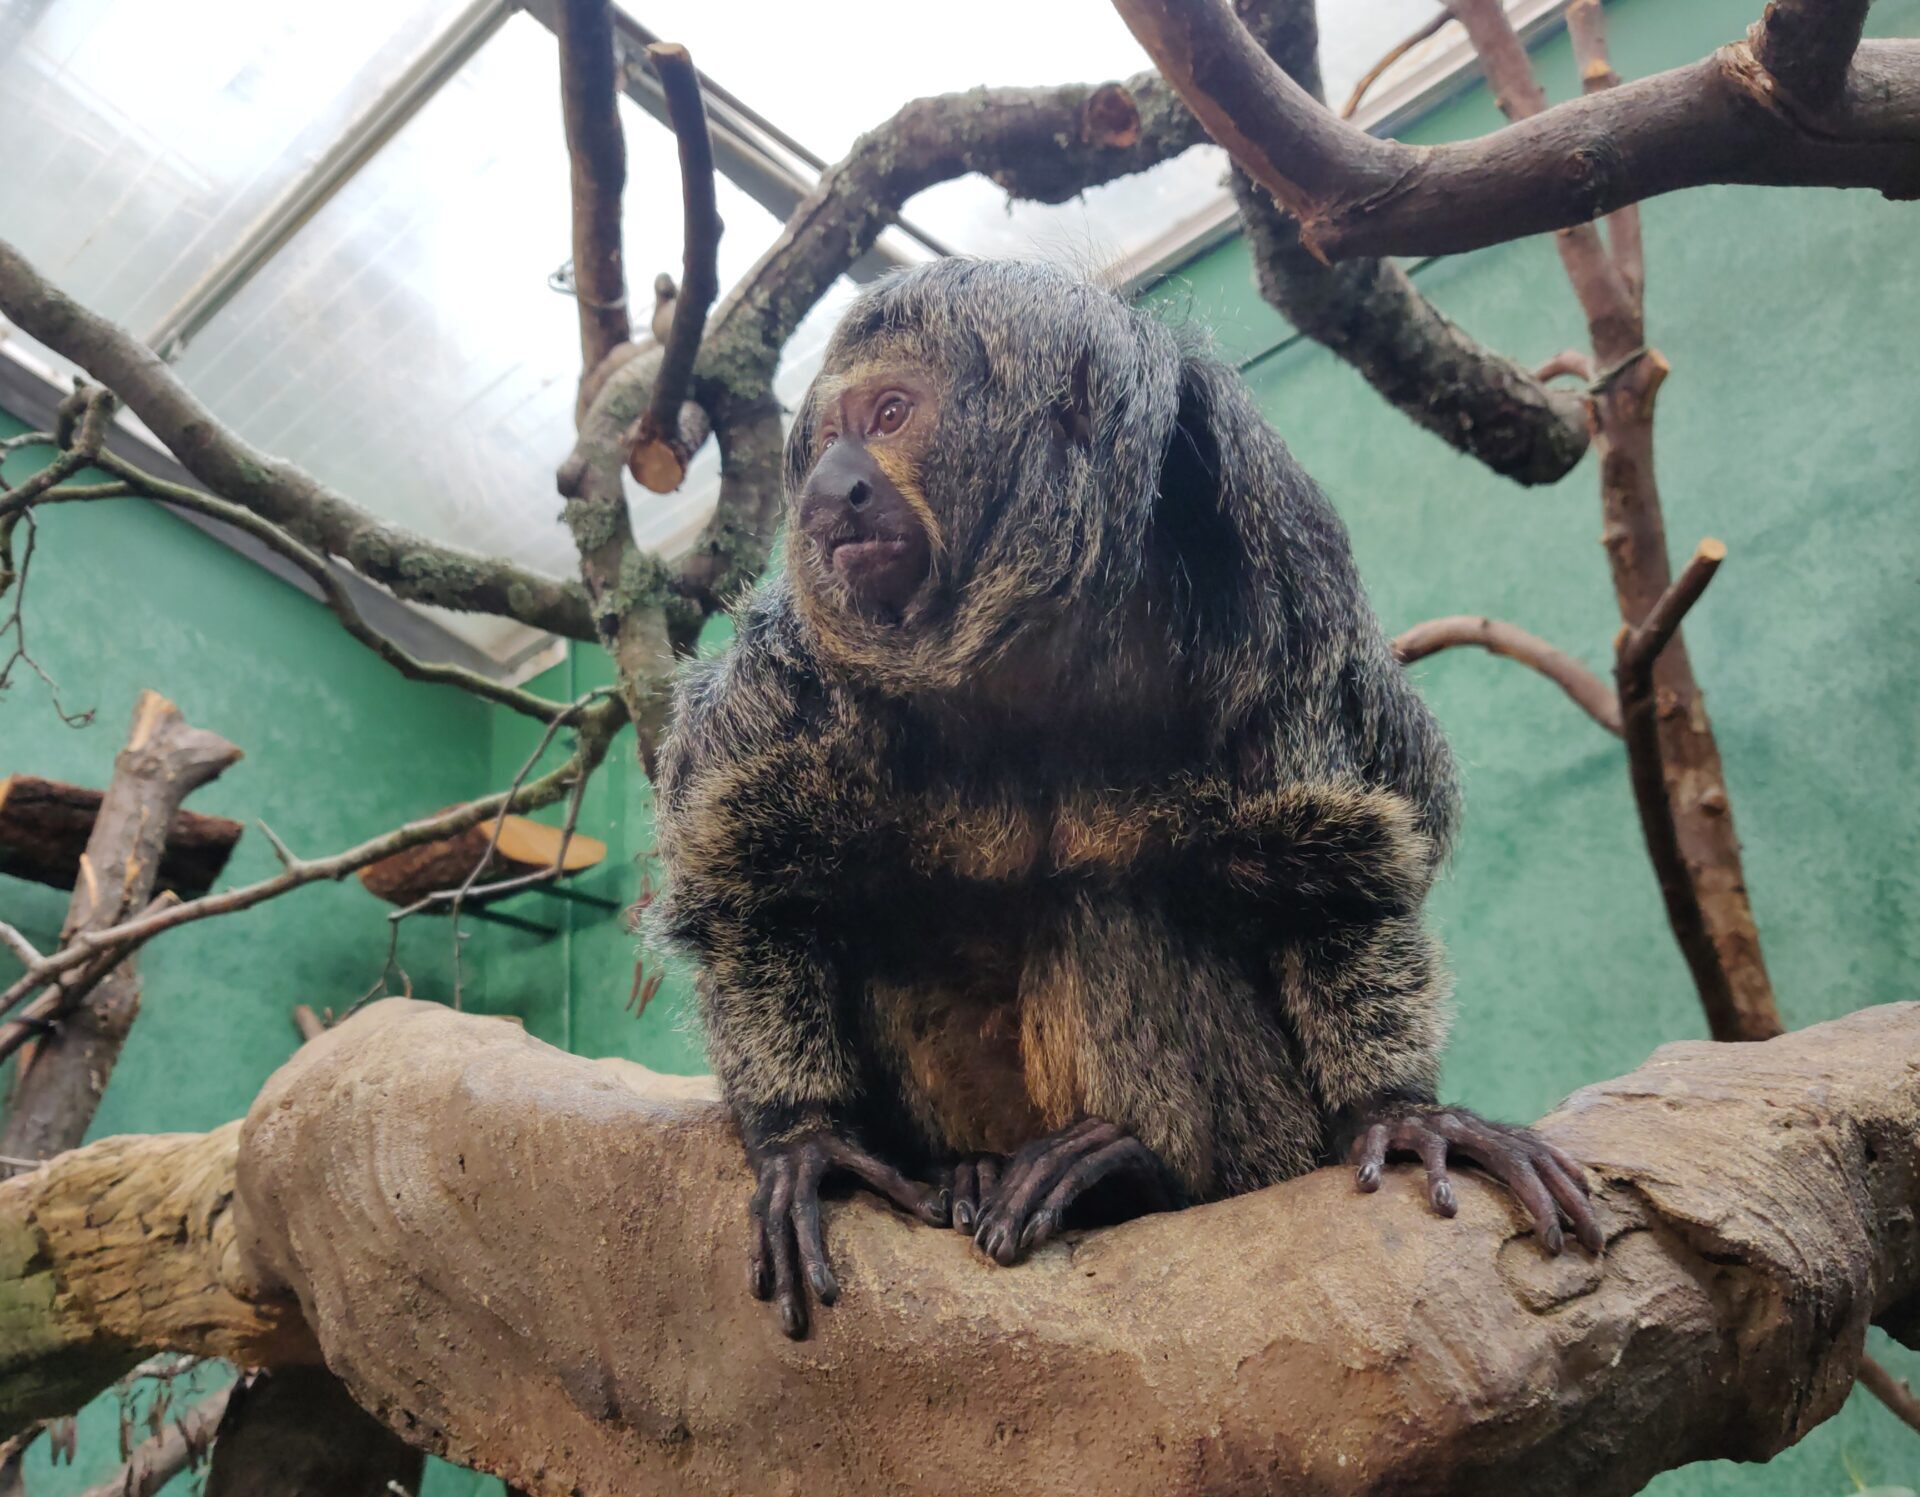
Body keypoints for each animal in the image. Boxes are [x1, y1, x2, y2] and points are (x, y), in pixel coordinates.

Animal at [651, 259, 1602, 1340]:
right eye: (827, 441)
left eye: (889, 415)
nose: (828, 488)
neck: (1034, 645)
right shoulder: (797, 674)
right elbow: (750, 882)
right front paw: (806, 1136)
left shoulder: (1283, 577)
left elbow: (1335, 860)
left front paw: (1398, 1110)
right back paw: (973, 1170)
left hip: (1274, 1138)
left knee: (1114, 911)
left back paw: (1125, 1172)